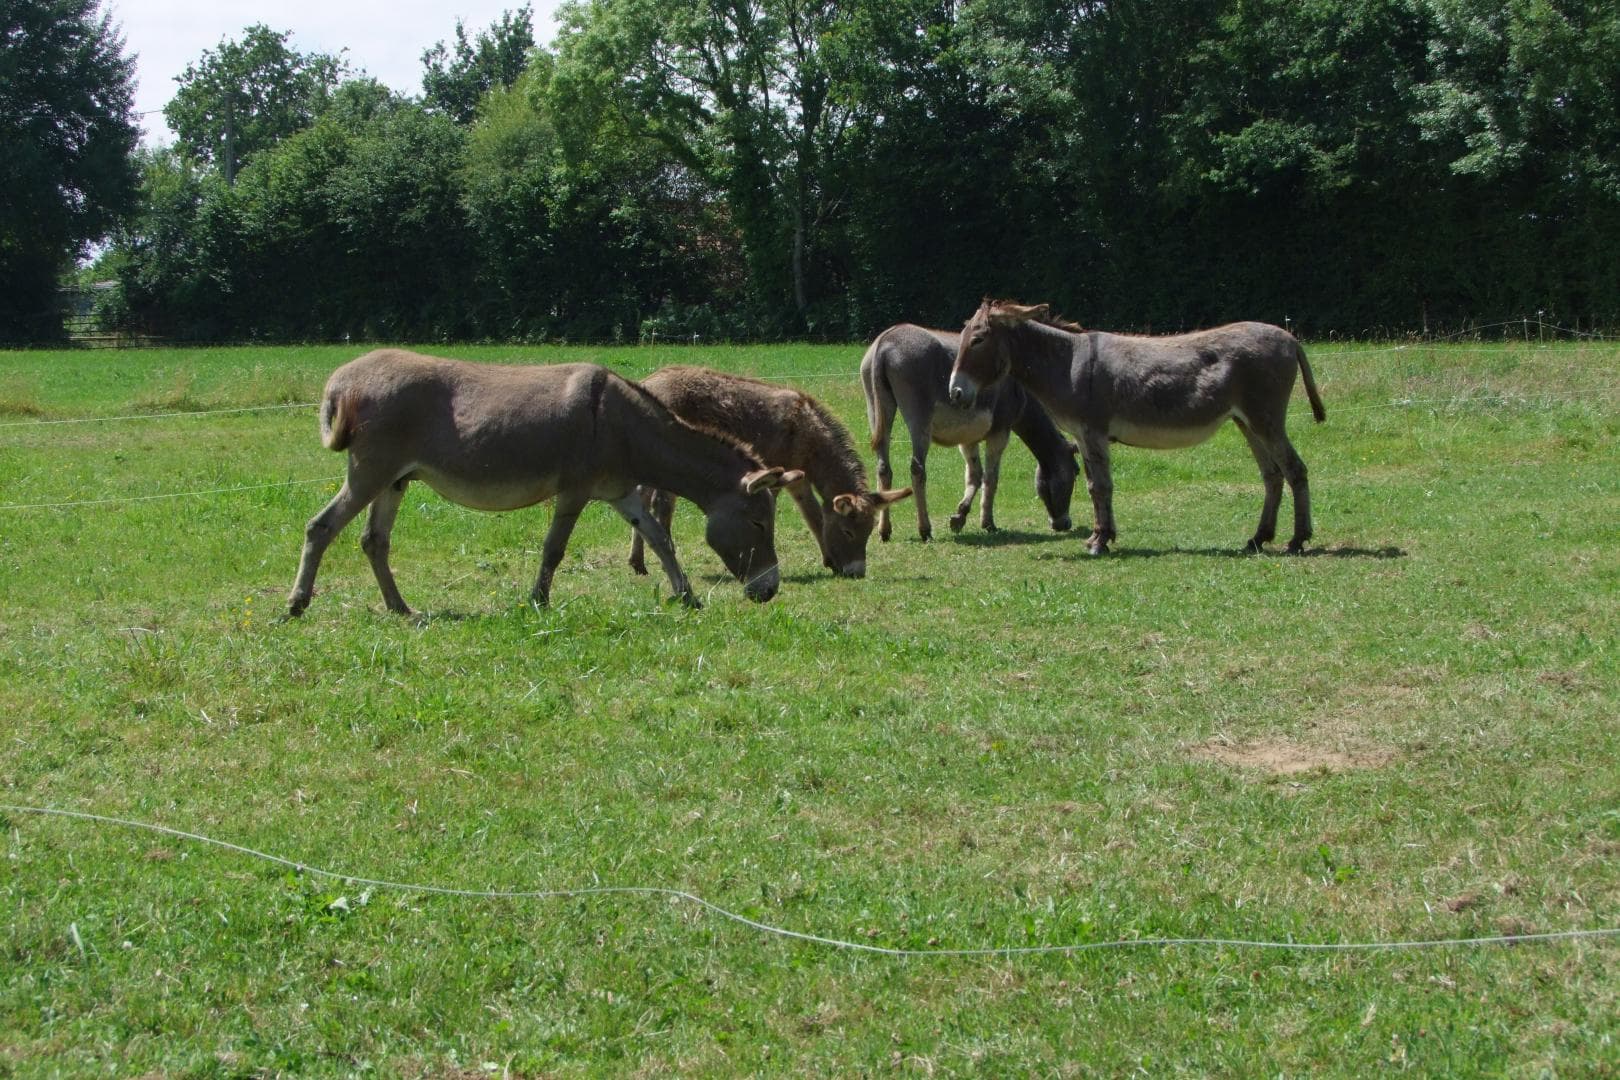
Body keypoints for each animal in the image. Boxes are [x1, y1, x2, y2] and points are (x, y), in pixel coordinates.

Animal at [286, 350, 802, 615]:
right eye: (760, 524)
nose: (769, 590)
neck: (623, 424)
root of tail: (343, 377)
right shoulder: (575, 490)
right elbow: (555, 548)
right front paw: (538, 600)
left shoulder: (620, 491)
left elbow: (659, 539)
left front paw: (686, 595)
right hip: (371, 470)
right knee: (321, 527)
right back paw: (297, 604)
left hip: (395, 480)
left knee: (374, 541)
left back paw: (400, 608)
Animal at [626, 366, 912, 579]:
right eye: (848, 532)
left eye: (868, 533)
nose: (857, 573)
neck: (806, 432)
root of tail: (647, 382)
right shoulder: (773, 476)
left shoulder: (799, 480)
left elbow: (813, 516)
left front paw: (829, 560)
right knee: (660, 503)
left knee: (643, 499)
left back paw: (638, 563)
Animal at [860, 323, 1080, 542]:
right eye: (1076, 472)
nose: (1064, 524)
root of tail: (886, 340)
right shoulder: (1000, 432)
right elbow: (991, 477)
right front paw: (988, 523)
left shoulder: (968, 438)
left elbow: (975, 475)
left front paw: (960, 516)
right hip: (919, 417)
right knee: (917, 469)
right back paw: (925, 529)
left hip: (877, 409)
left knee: (883, 468)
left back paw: (884, 530)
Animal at [947, 300, 1326, 555]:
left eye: (977, 340)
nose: (955, 392)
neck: (1067, 362)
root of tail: (1290, 338)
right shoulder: (1085, 435)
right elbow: (1096, 486)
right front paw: (1100, 536)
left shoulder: (1093, 431)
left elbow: (1100, 487)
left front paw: (1099, 542)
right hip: (1247, 422)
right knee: (1272, 475)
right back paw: (1258, 539)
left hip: (1265, 418)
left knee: (1295, 470)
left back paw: (1297, 540)